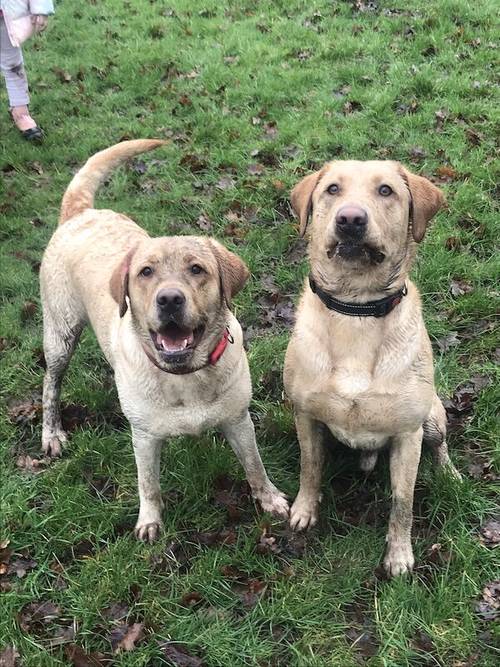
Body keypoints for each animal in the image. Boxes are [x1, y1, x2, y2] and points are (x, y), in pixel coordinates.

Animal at [41, 138, 290, 540]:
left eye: (197, 269)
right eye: (145, 272)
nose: (170, 299)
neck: (185, 375)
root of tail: (81, 212)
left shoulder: (239, 421)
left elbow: (255, 465)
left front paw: (270, 500)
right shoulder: (144, 437)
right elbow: (149, 484)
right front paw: (149, 521)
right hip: (60, 332)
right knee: (51, 383)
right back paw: (51, 433)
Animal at [284, 160, 458, 576]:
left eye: (385, 191)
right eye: (332, 189)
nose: (350, 219)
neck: (356, 309)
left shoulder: (408, 435)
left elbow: (402, 501)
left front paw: (399, 553)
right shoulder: (306, 415)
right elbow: (310, 466)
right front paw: (304, 509)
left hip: (432, 416)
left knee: (441, 443)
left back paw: (450, 473)